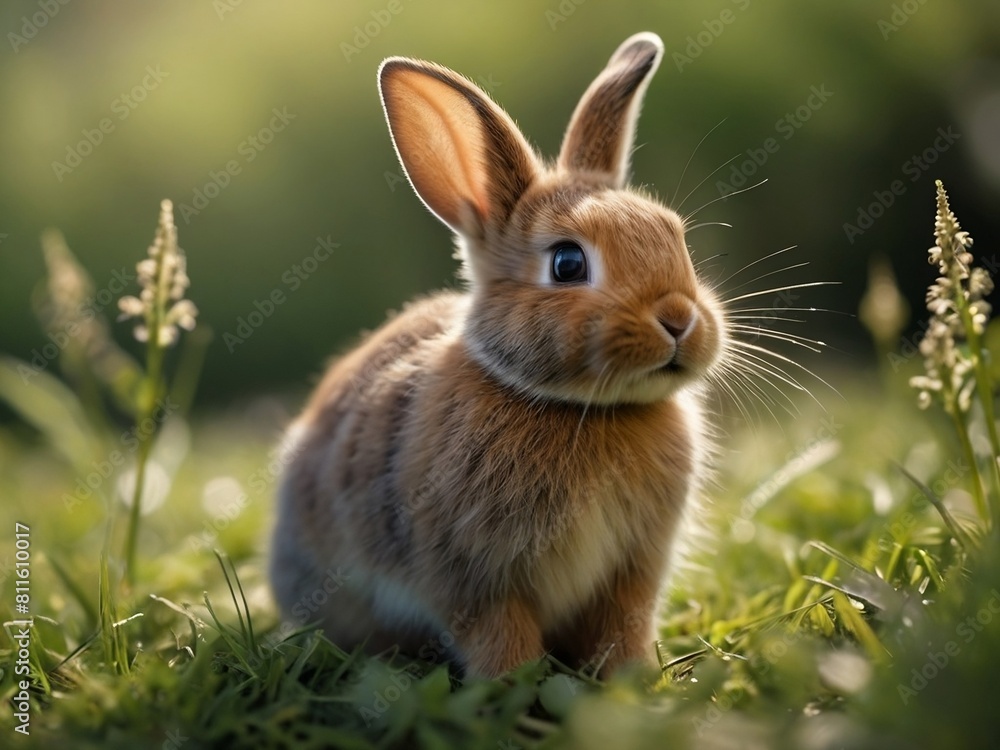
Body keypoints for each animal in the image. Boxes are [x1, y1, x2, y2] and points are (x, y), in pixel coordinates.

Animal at [269, 30, 725, 679]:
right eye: (567, 263)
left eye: (675, 236)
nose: (681, 320)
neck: (581, 409)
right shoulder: (476, 580)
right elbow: (499, 636)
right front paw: (513, 688)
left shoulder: (631, 573)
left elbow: (622, 628)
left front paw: (633, 681)